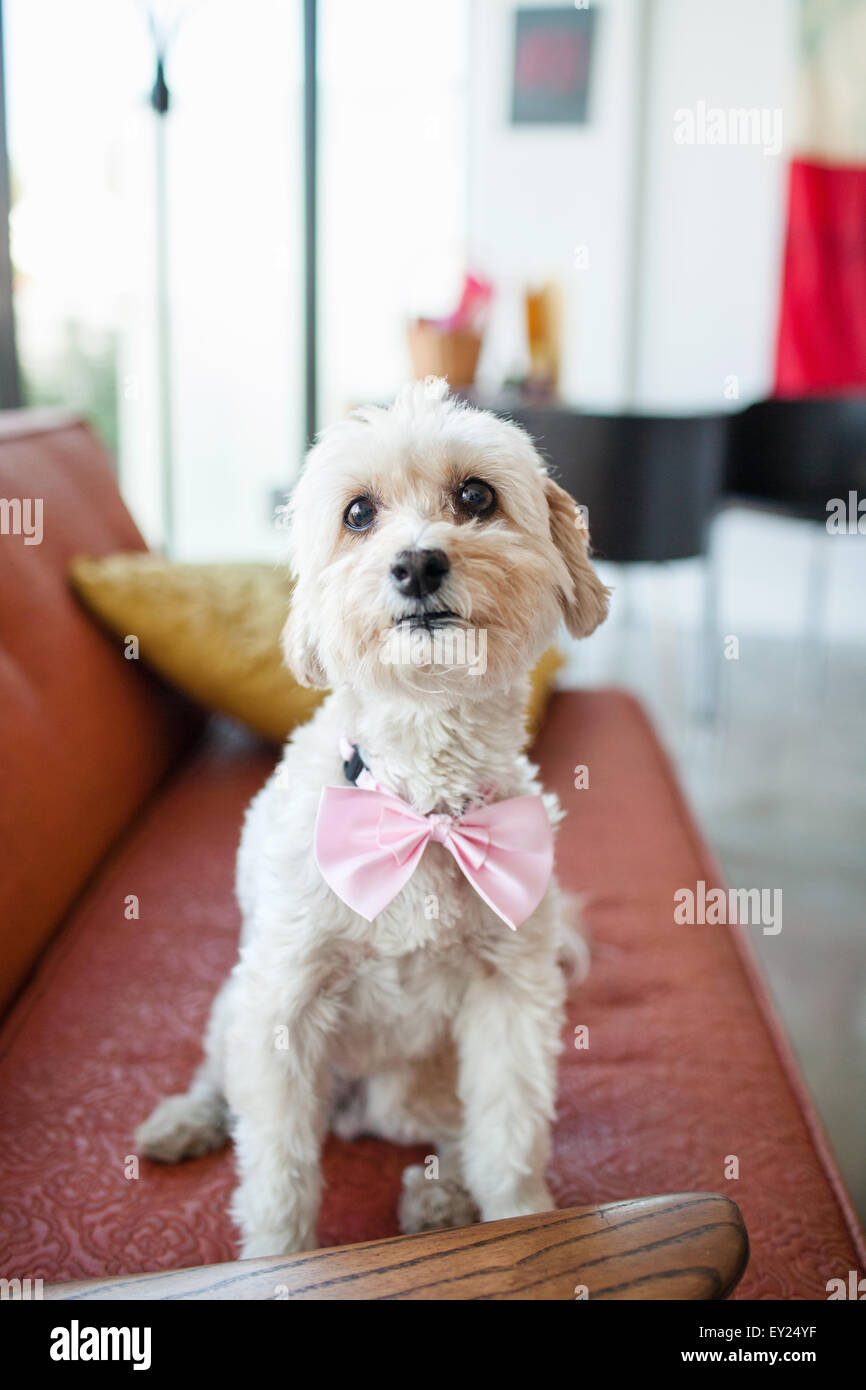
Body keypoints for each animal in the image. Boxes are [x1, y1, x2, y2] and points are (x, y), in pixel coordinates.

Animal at [136, 375, 608, 1256]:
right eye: (358, 513)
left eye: (476, 496)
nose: (418, 562)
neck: (421, 804)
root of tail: (354, 1109)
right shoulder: (280, 1006)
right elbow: (278, 1171)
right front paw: (275, 1257)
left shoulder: (511, 993)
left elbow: (509, 1134)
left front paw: (522, 1224)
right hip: (234, 1008)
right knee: (222, 1082)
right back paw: (186, 1121)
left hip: (411, 1088)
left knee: (449, 1132)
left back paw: (439, 1196)